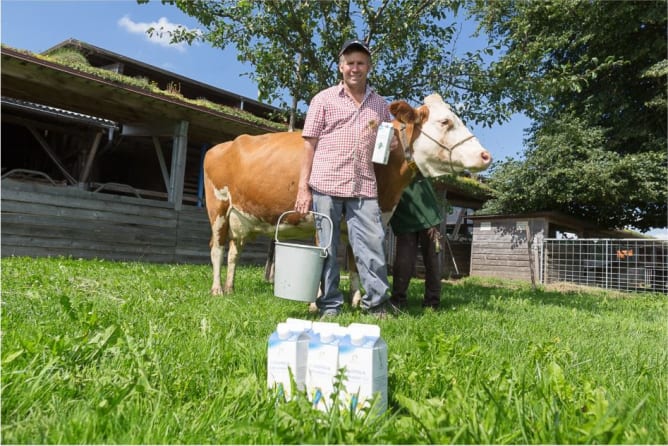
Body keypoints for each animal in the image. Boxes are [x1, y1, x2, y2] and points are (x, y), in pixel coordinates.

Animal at [202, 93, 490, 296]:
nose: (486, 155)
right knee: (217, 248)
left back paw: (230, 288)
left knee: (234, 251)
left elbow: (354, 263)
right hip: (218, 208)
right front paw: (317, 302)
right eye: (445, 122)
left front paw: (356, 300)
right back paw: (216, 290)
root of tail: (223, 145)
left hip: (242, 219)